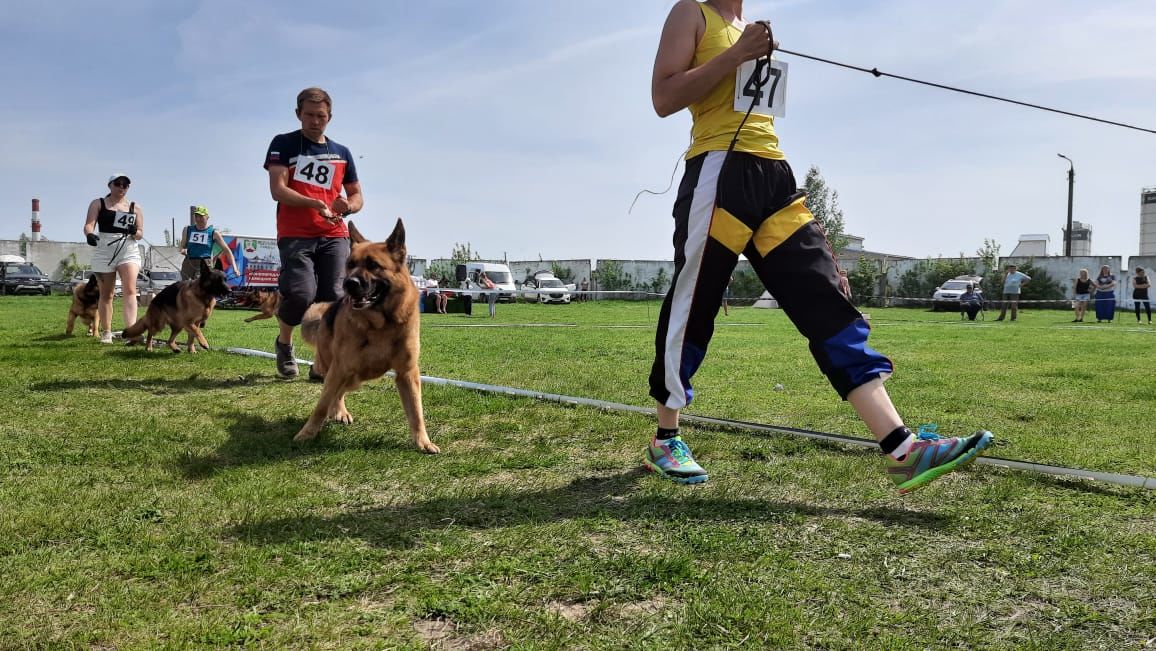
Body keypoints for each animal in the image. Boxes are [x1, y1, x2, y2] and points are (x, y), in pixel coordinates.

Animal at [291, 218, 439, 453]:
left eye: (373, 265)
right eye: (350, 264)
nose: (349, 284)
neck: (381, 326)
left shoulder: (407, 373)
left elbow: (416, 411)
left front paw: (423, 442)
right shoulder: (340, 368)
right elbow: (321, 406)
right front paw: (307, 433)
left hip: (353, 378)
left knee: (340, 391)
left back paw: (339, 411)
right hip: (335, 369)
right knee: (331, 389)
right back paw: (337, 410)